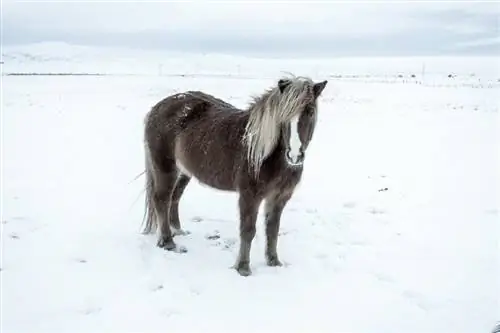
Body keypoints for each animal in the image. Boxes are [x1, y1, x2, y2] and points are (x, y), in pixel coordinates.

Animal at [141, 75, 328, 274]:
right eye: (283, 115)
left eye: (310, 111)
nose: (294, 155)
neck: (265, 153)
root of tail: (157, 107)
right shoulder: (249, 196)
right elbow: (248, 230)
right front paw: (243, 268)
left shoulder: (280, 197)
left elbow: (272, 229)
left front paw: (273, 262)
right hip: (165, 168)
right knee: (161, 200)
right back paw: (168, 242)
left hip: (184, 171)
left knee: (174, 197)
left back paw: (178, 231)